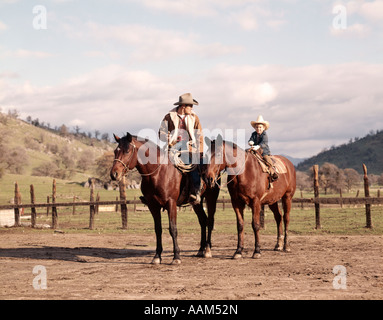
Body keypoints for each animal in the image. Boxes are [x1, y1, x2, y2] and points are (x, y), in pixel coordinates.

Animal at [109, 133, 220, 264]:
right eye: (115, 151)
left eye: (127, 151)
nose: (114, 174)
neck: (158, 173)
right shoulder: (153, 206)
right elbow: (158, 229)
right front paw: (157, 256)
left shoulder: (171, 203)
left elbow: (173, 229)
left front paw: (176, 257)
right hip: (196, 203)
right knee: (203, 220)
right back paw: (201, 249)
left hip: (211, 197)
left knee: (210, 221)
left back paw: (207, 249)